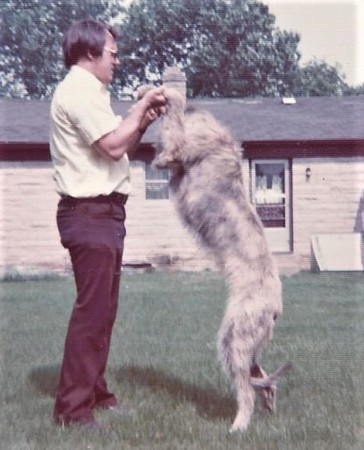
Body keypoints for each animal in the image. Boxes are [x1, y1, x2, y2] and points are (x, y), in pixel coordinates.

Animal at [139, 85, 290, 432]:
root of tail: (275, 306)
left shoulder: (179, 151)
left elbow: (171, 138)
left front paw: (166, 97)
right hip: (243, 342)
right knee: (259, 376)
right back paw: (268, 401)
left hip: (236, 336)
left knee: (246, 389)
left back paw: (239, 426)